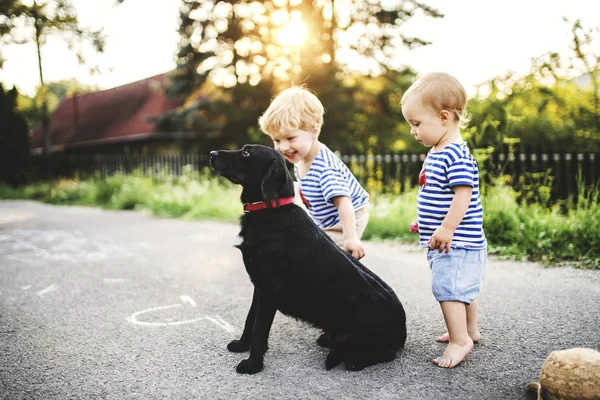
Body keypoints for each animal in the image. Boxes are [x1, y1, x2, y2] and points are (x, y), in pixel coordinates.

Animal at [207, 145, 408, 374]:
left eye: (246, 153)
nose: (212, 154)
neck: (270, 208)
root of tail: (402, 332)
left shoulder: (268, 291)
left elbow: (259, 329)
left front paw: (252, 365)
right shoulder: (259, 287)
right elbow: (250, 320)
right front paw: (241, 346)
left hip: (366, 314)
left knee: (386, 353)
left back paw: (355, 359)